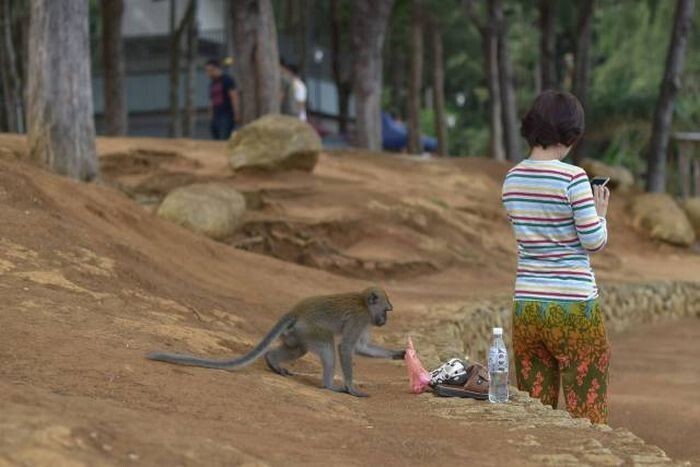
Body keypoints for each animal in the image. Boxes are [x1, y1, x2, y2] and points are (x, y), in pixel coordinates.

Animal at [145, 286, 402, 398]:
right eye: (387, 310)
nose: (384, 321)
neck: (363, 302)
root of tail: (296, 310)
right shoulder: (360, 318)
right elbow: (347, 347)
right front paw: (351, 387)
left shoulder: (366, 321)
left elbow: (361, 347)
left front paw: (399, 354)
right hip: (311, 328)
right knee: (328, 346)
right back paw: (329, 385)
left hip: (298, 332)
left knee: (297, 348)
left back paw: (272, 361)